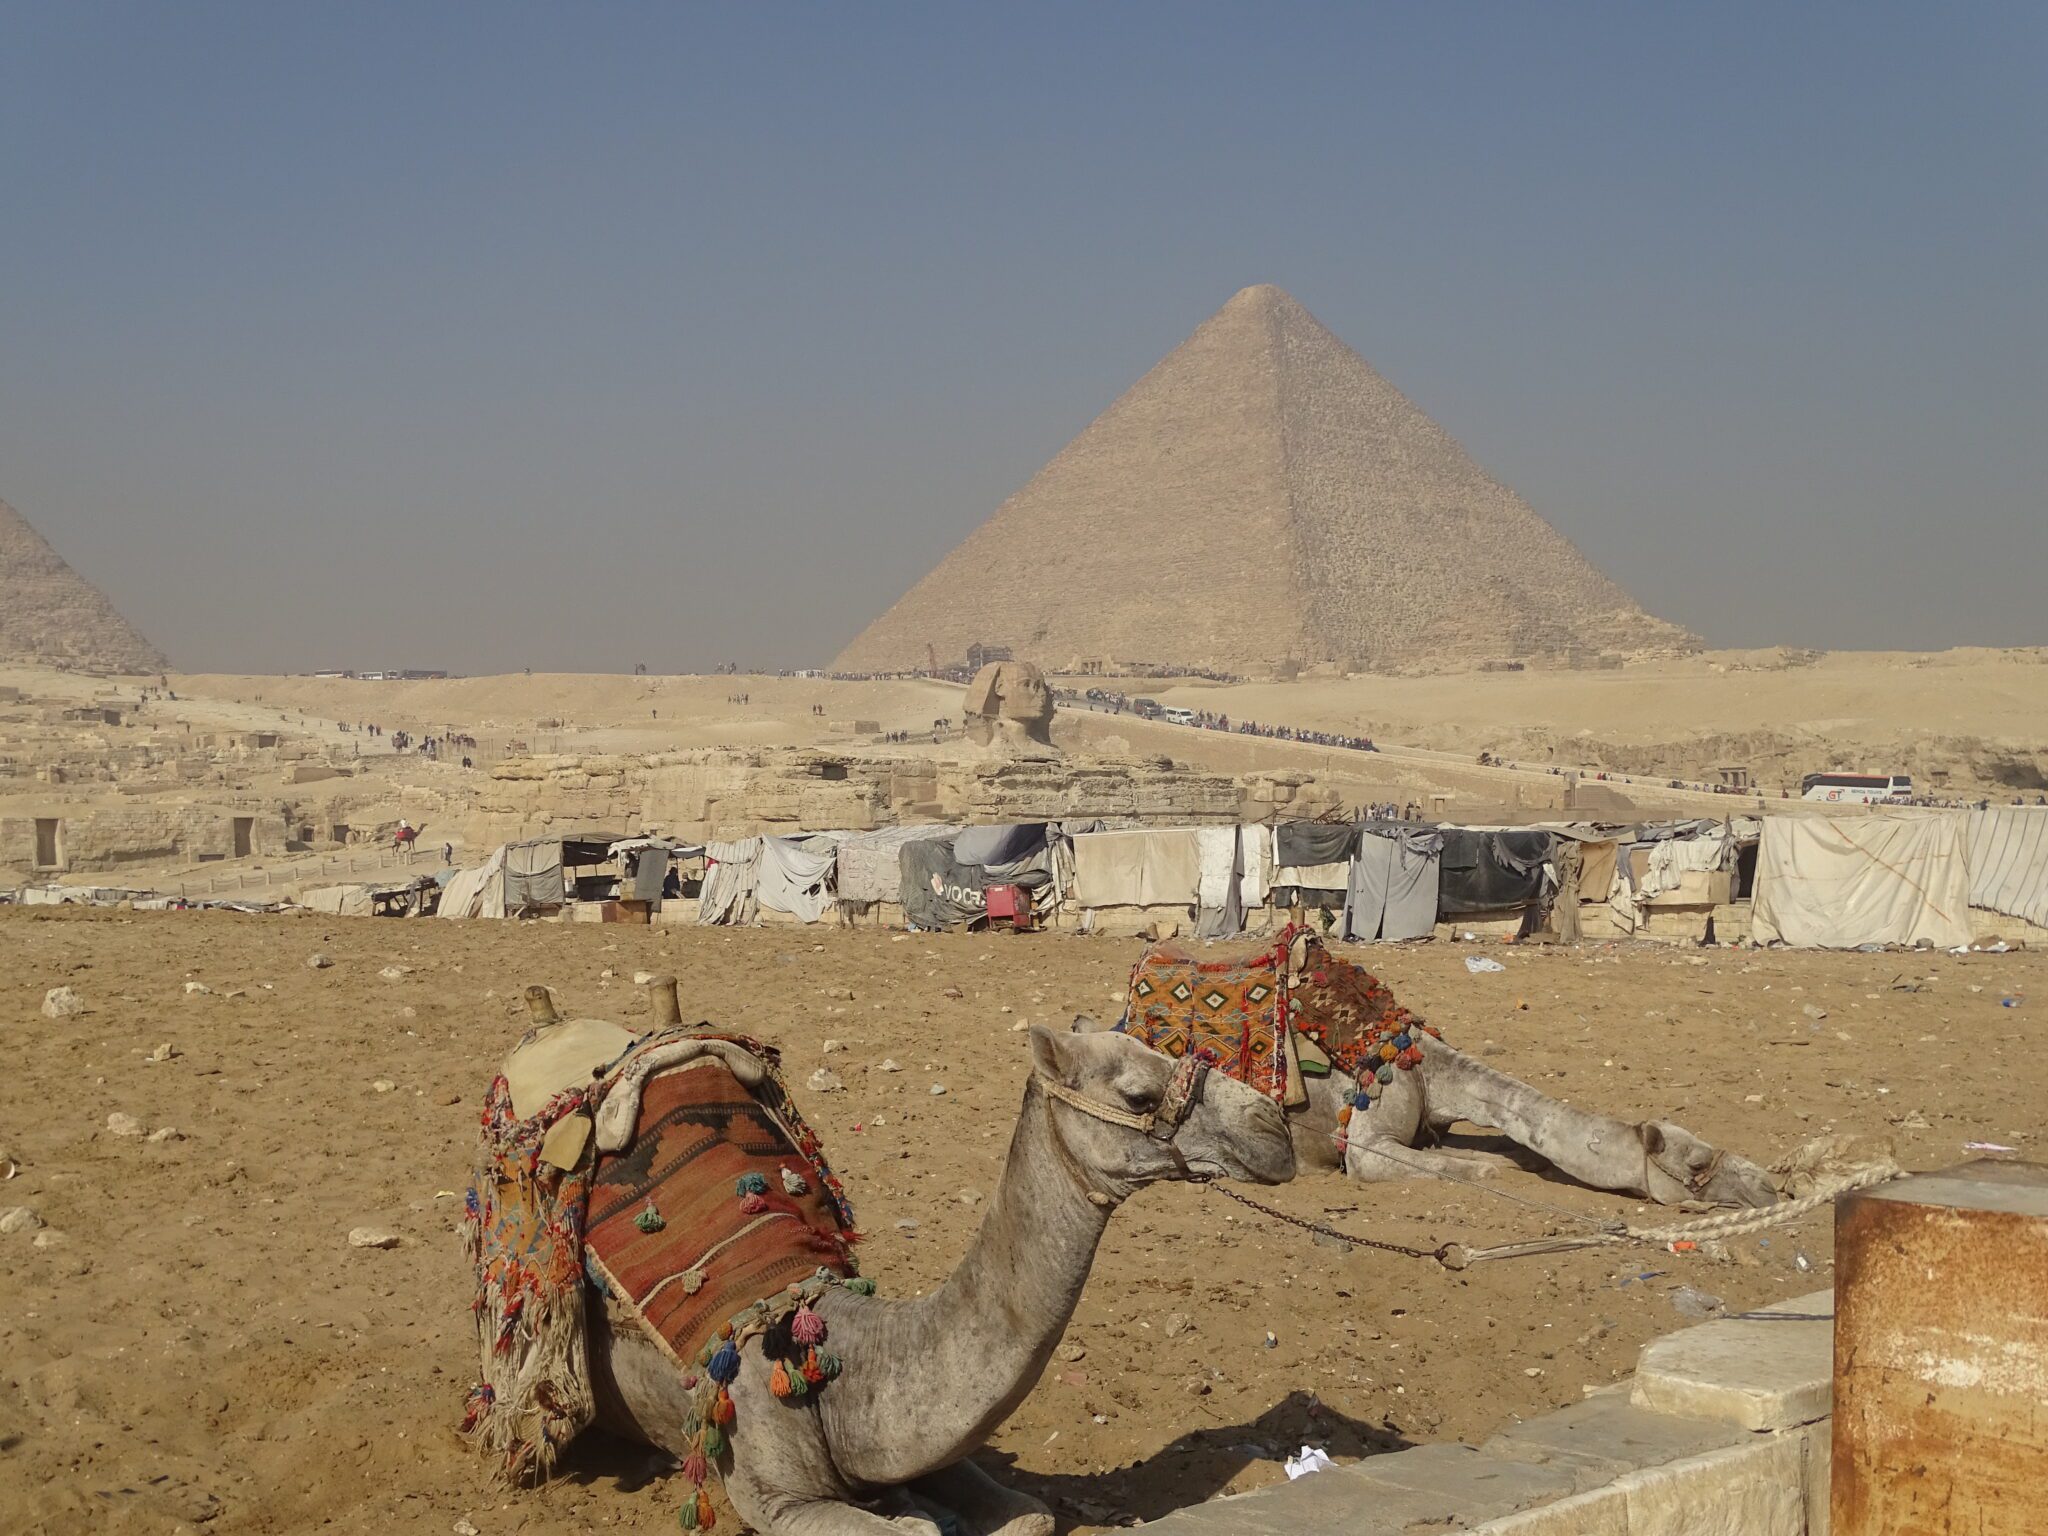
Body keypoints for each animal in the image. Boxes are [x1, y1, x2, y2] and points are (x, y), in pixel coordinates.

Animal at [588, 1022, 1296, 1536]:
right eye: (1138, 1095)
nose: (1275, 1127)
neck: (835, 1367)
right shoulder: (773, 1494)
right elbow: (913, 1531)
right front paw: (919, 1514)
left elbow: (1032, 1517)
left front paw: (929, 1506)